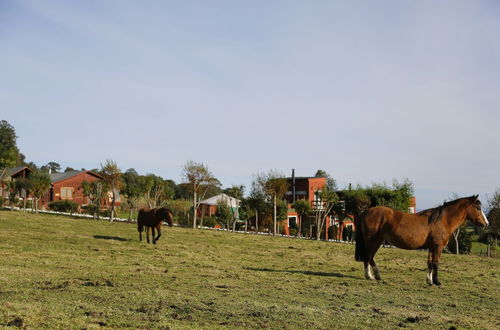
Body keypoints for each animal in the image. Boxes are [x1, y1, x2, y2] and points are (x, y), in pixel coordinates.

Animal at [356, 195, 488, 284]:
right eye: (477, 207)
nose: (486, 223)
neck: (442, 220)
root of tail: (366, 211)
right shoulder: (438, 247)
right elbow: (436, 262)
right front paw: (436, 281)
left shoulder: (431, 247)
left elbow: (429, 262)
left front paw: (429, 280)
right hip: (373, 241)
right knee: (368, 256)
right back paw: (371, 276)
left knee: (369, 257)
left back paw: (374, 276)